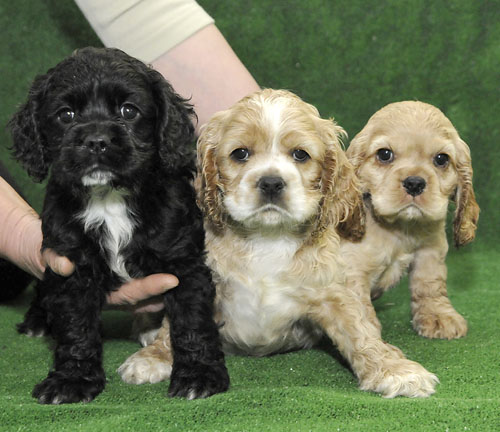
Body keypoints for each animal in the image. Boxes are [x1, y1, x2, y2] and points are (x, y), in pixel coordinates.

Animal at [9, 47, 229, 404]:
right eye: (66, 114)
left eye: (129, 111)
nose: (97, 141)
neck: (108, 198)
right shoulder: (70, 265)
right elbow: (76, 326)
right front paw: (72, 380)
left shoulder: (184, 261)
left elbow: (192, 321)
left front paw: (200, 375)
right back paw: (36, 320)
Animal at [119, 90, 440, 398]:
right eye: (240, 153)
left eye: (300, 154)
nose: (271, 182)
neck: (268, 236)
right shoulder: (203, 281)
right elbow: (179, 321)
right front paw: (155, 356)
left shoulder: (332, 290)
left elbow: (358, 329)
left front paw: (394, 370)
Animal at [344, 99, 480, 340]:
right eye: (384, 154)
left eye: (441, 159)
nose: (415, 183)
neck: (401, 228)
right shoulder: (351, 270)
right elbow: (357, 306)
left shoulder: (431, 251)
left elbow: (430, 283)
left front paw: (438, 316)